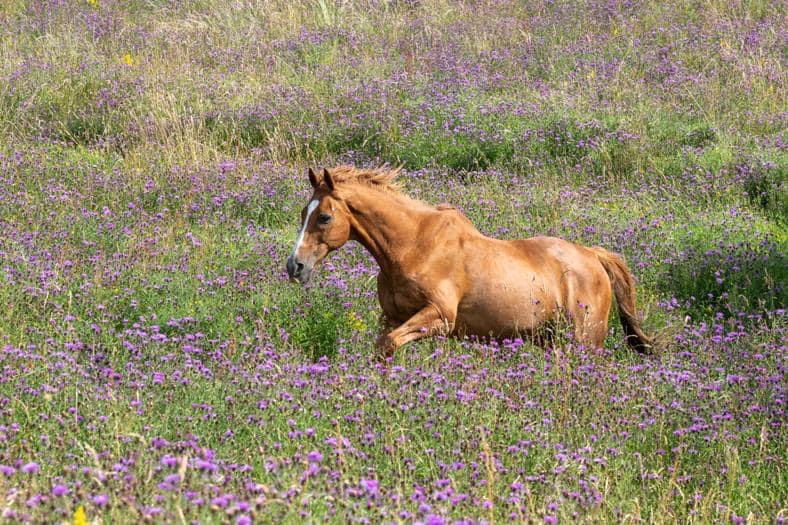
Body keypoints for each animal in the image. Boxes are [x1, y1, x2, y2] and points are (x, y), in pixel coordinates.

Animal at [286, 165, 653, 357]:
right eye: (304, 212)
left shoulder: (440, 316)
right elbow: (382, 348)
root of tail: (594, 256)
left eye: (324, 217)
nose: (295, 266)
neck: (412, 246)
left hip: (585, 341)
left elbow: (389, 344)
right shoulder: (391, 318)